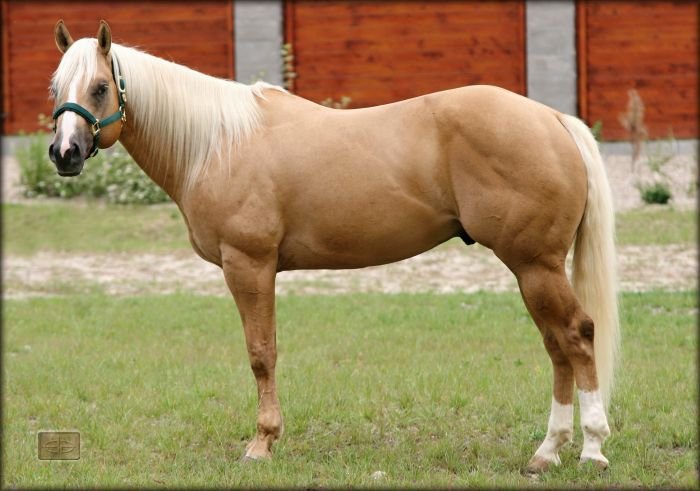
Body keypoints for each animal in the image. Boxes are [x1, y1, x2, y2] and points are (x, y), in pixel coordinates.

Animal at [47, 20, 619, 475]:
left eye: (100, 87)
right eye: (56, 86)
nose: (64, 152)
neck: (218, 143)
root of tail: (551, 119)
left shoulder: (249, 265)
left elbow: (261, 354)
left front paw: (262, 444)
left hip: (535, 266)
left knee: (576, 336)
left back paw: (591, 450)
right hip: (534, 270)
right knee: (556, 346)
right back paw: (547, 452)